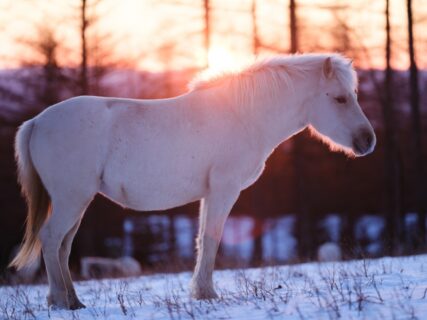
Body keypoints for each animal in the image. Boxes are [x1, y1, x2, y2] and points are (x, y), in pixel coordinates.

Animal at [10, 53, 374, 308]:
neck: (243, 115)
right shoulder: (224, 190)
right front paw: (206, 293)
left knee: (63, 246)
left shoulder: (209, 194)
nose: (367, 141)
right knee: (51, 238)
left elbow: (201, 238)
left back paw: (73, 300)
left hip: (77, 201)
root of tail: (36, 122)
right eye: (340, 98)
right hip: (72, 199)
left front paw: (200, 291)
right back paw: (61, 300)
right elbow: (211, 239)